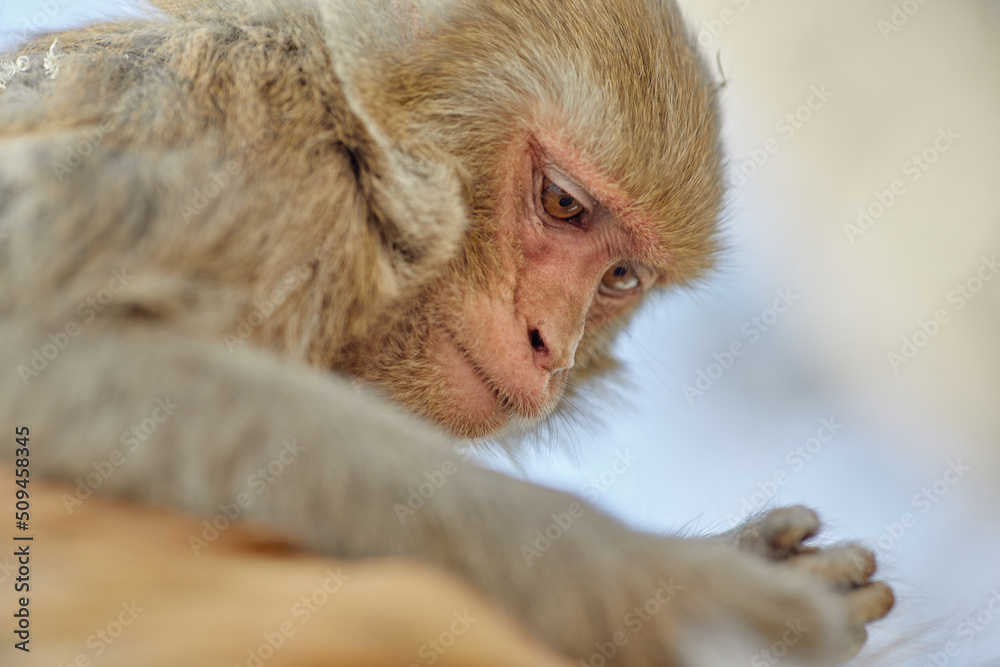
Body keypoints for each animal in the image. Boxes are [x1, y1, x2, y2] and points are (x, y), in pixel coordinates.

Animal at [0, 0, 894, 664]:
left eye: (620, 278)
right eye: (562, 203)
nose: (551, 346)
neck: (353, 151)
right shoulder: (246, 150)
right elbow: (37, 354)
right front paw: (690, 589)